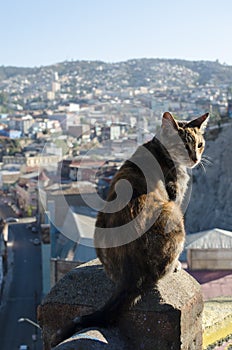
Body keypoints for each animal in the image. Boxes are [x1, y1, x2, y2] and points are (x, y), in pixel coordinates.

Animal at [51, 110, 210, 346]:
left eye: (200, 144)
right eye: (184, 145)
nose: (195, 159)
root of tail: (131, 272)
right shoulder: (175, 195)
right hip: (172, 214)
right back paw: (174, 266)